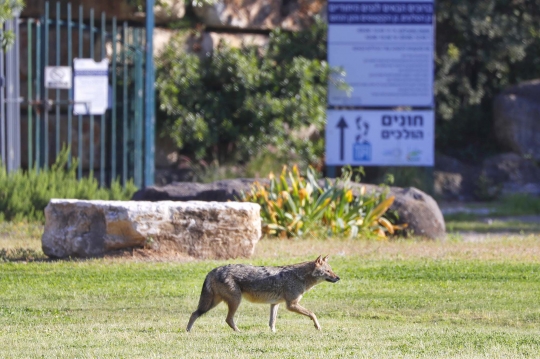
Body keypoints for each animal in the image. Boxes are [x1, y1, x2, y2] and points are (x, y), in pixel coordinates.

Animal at [184, 255, 340, 334]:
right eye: (328, 271)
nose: (338, 278)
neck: (299, 277)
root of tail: (213, 270)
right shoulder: (291, 305)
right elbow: (313, 313)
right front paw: (318, 327)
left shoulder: (275, 304)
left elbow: (272, 321)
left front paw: (273, 333)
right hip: (234, 302)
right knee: (227, 319)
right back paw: (239, 332)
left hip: (213, 303)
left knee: (194, 313)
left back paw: (188, 331)